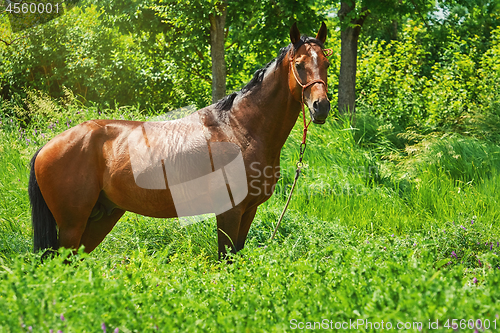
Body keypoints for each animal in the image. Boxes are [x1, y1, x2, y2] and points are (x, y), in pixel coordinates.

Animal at [28, 22, 332, 258]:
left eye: (327, 63)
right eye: (299, 65)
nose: (321, 107)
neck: (238, 129)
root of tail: (48, 145)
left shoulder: (248, 212)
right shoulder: (229, 212)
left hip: (100, 218)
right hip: (72, 225)